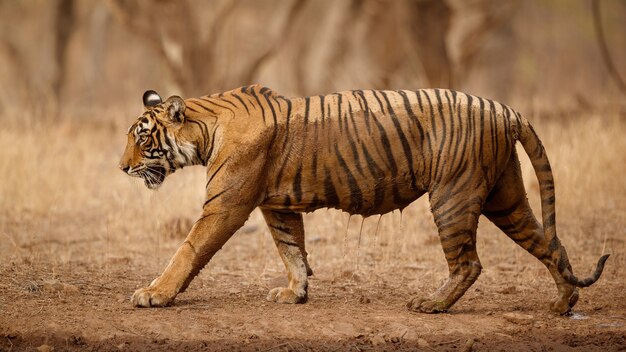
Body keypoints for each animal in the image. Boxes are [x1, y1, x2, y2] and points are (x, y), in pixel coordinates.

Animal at [119, 84, 608, 314]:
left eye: (142, 139)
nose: (122, 168)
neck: (205, 129)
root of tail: (504, 109)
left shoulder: (227, 203)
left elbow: (189, 250)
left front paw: (153, 294)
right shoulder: (276, 206)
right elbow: (292, 249)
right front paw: (296, 292)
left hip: (453, 195)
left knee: (469, 262)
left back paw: (431, 305)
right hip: (504, 198)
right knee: (549, 244)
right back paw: (562, 304)